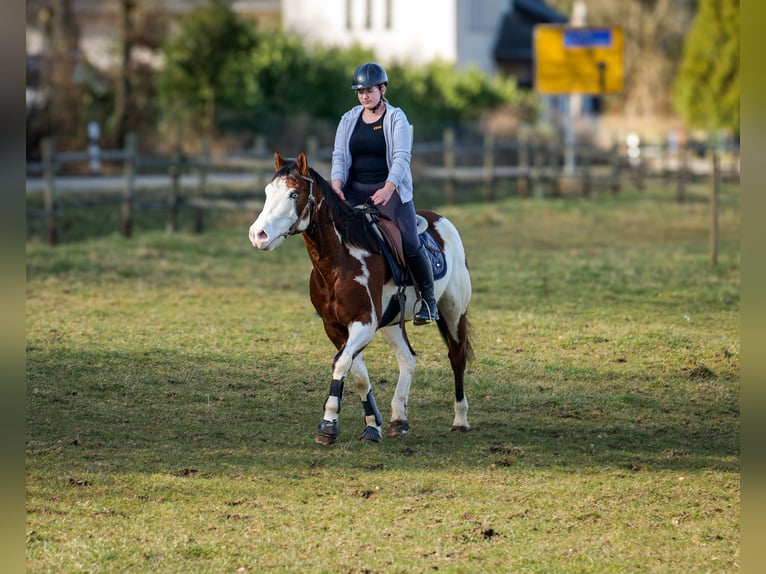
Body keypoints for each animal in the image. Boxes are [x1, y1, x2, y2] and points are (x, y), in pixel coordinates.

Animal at [249, 153, 472, 446]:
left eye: (293, 193)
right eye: (267, 192)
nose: (258, 234)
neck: (340, 259)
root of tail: (441, 220)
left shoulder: (364, 322)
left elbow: (341, 363)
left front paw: (328, 424)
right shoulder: (334, 326)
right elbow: (357, 372)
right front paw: (373, 424)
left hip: (453, 311)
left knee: (457, 356)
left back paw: (460, 420)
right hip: (392, 322)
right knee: (408, 358)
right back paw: (399, 419)